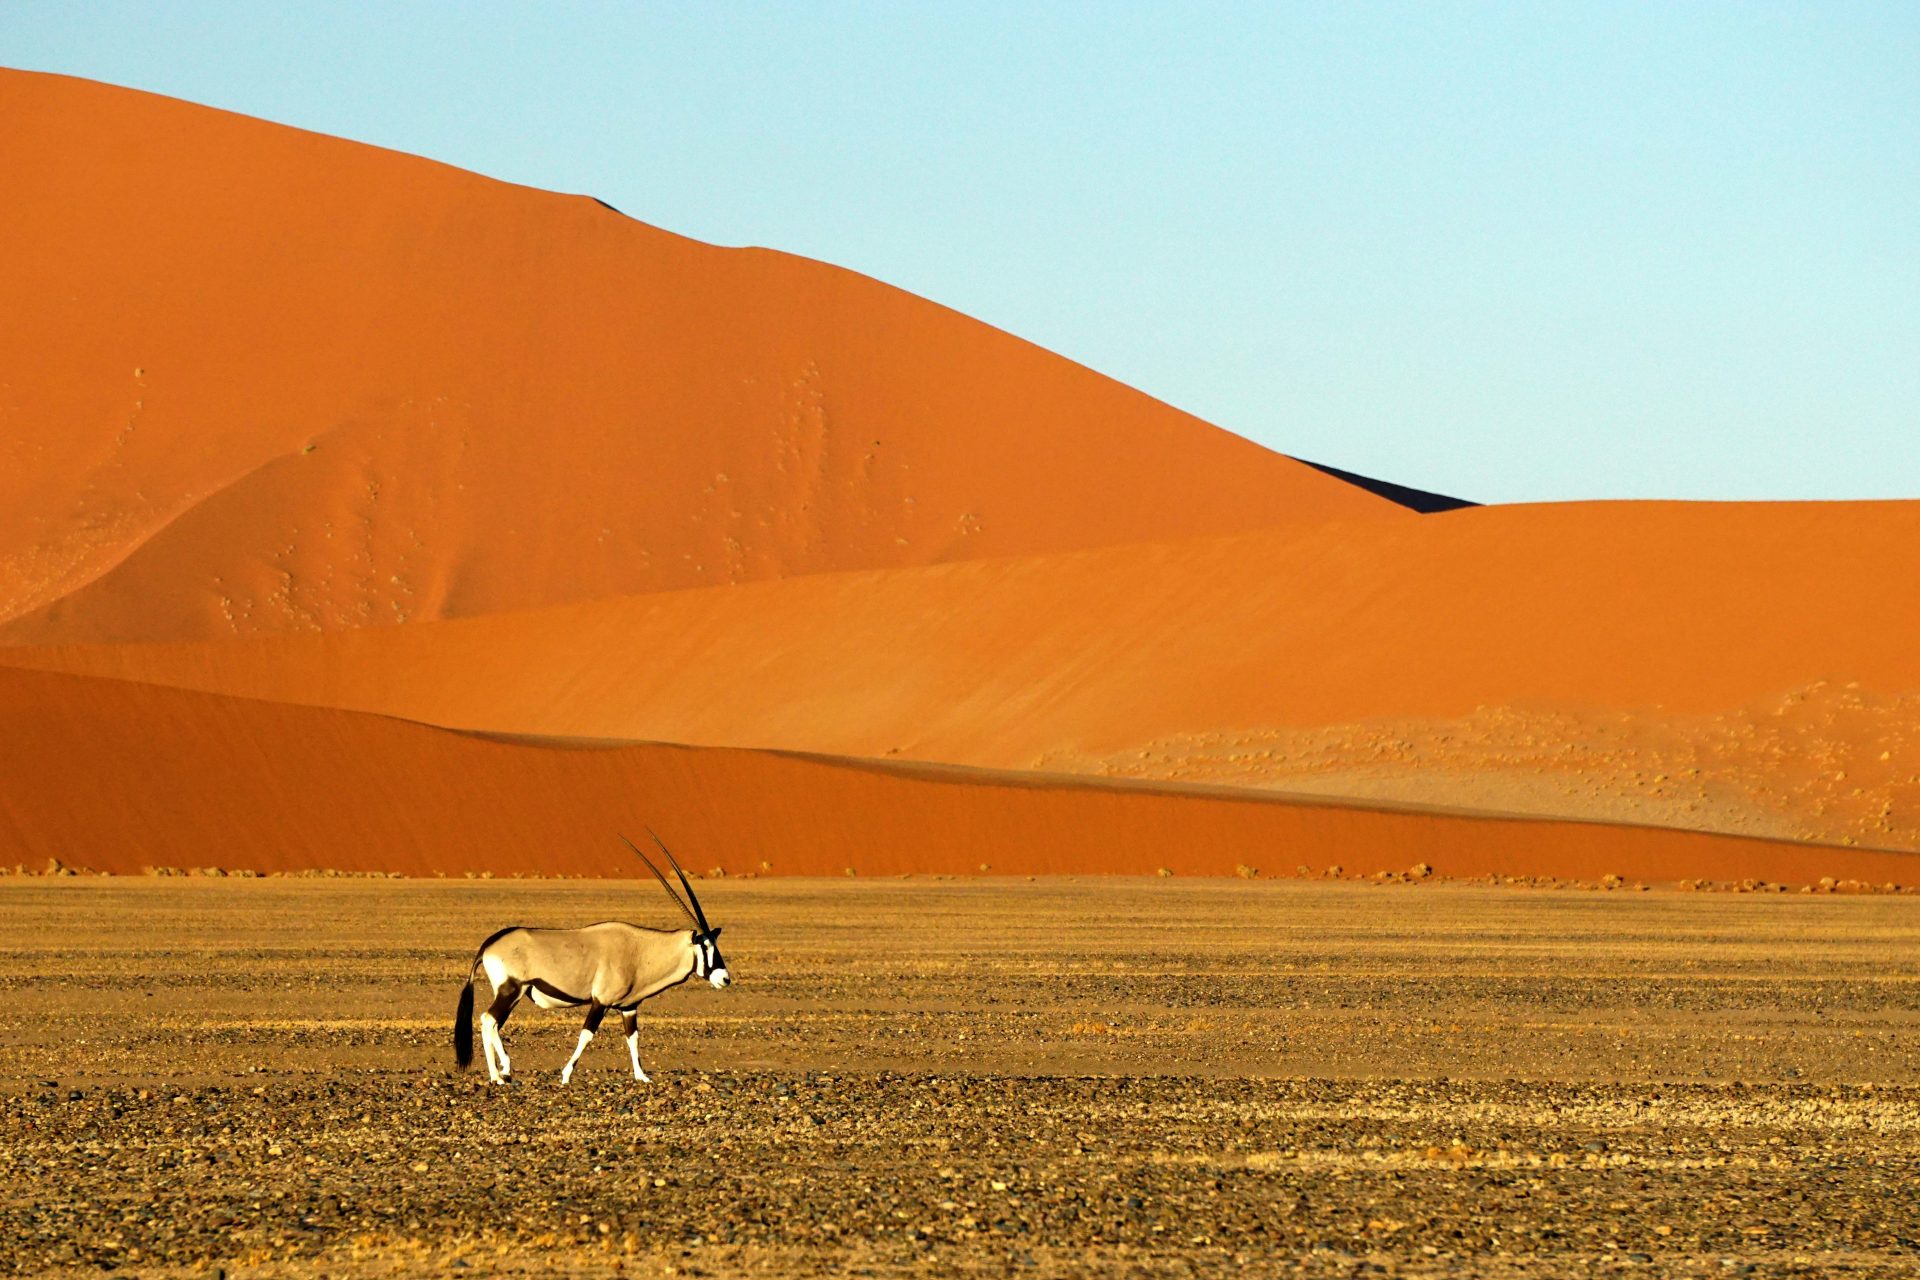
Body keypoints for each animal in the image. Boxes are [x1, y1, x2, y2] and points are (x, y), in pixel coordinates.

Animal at [449, 832, 725, 1090]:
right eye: (705, 946)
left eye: (716, 944)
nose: (725, 978)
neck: (640, 949)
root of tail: (489, 944)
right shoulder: (600, 1001)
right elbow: (586, 1035)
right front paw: (565, 1075)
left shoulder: (629, 1006)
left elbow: (633, 1038)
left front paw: (642, 1076)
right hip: (511, 990)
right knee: (488, 1020)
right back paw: (499, 1073)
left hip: (514, 994)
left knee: (493, 1024)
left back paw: (501, 1071)